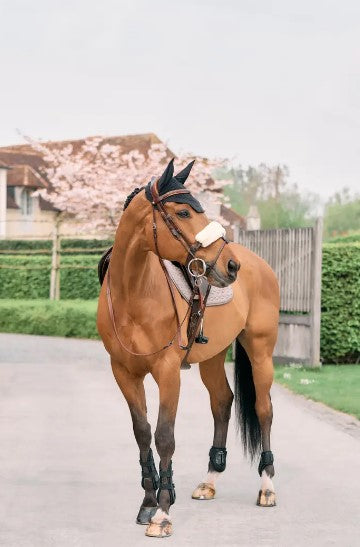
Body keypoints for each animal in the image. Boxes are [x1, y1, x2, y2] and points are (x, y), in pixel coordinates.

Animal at [96, 158, 278, 540]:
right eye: (182, 212)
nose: (230, 266)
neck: (134, 293)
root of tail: (257, 263)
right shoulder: (124, 373)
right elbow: (142, 433)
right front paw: (148, 503)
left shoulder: (167, 372)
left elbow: (165, 436)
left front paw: (163, 514)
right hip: (212, 359)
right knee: (222, 402)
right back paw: (209, 481)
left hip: (260, 351)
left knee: (264, 410)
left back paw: (267, 486)